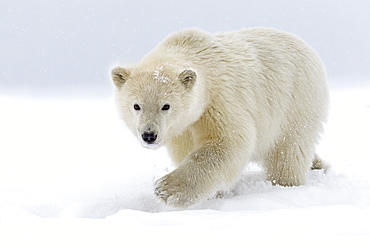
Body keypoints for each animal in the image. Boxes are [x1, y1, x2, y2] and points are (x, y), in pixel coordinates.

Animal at [111, 28, 328, 207]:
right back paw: (318, 164)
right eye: (136, 105)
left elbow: (229, 141)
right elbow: (188, 149)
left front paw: (166, 189)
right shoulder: (182, 128)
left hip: (297, 100)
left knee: (288, 150)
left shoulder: (219, 99)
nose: (149, 135)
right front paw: (215, 194)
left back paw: (285, 184)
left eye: (166, 106)